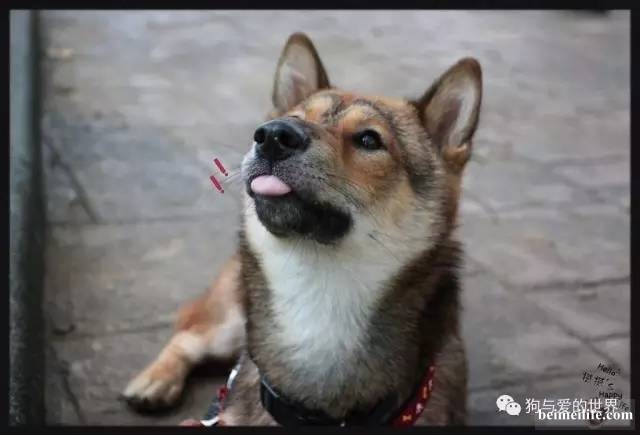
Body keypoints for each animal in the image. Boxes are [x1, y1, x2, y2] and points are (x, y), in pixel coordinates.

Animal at [122, 32, 482, 426]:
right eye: (291, 119)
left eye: (369, 140)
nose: (273, 135)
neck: (319, 295)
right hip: (231, 320)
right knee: (190, 334)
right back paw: (155, 380)